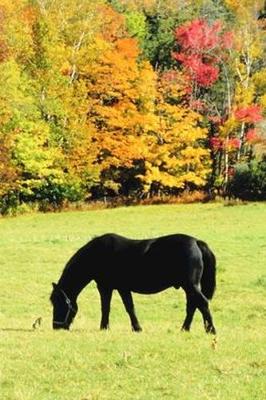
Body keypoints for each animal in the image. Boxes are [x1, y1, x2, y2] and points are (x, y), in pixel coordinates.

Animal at [49, 233, 216, 332]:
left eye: (58, 303)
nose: (56, 327)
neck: (98, 254)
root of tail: (196, 242)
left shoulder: (109, 287)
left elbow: (118, 308)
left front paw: (108, 328)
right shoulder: (115, 288)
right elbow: (118, 307)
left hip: (190, 285)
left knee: (202, 303)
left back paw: (211, 330)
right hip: (189, 287)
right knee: (193, 306)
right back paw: (185, 329)